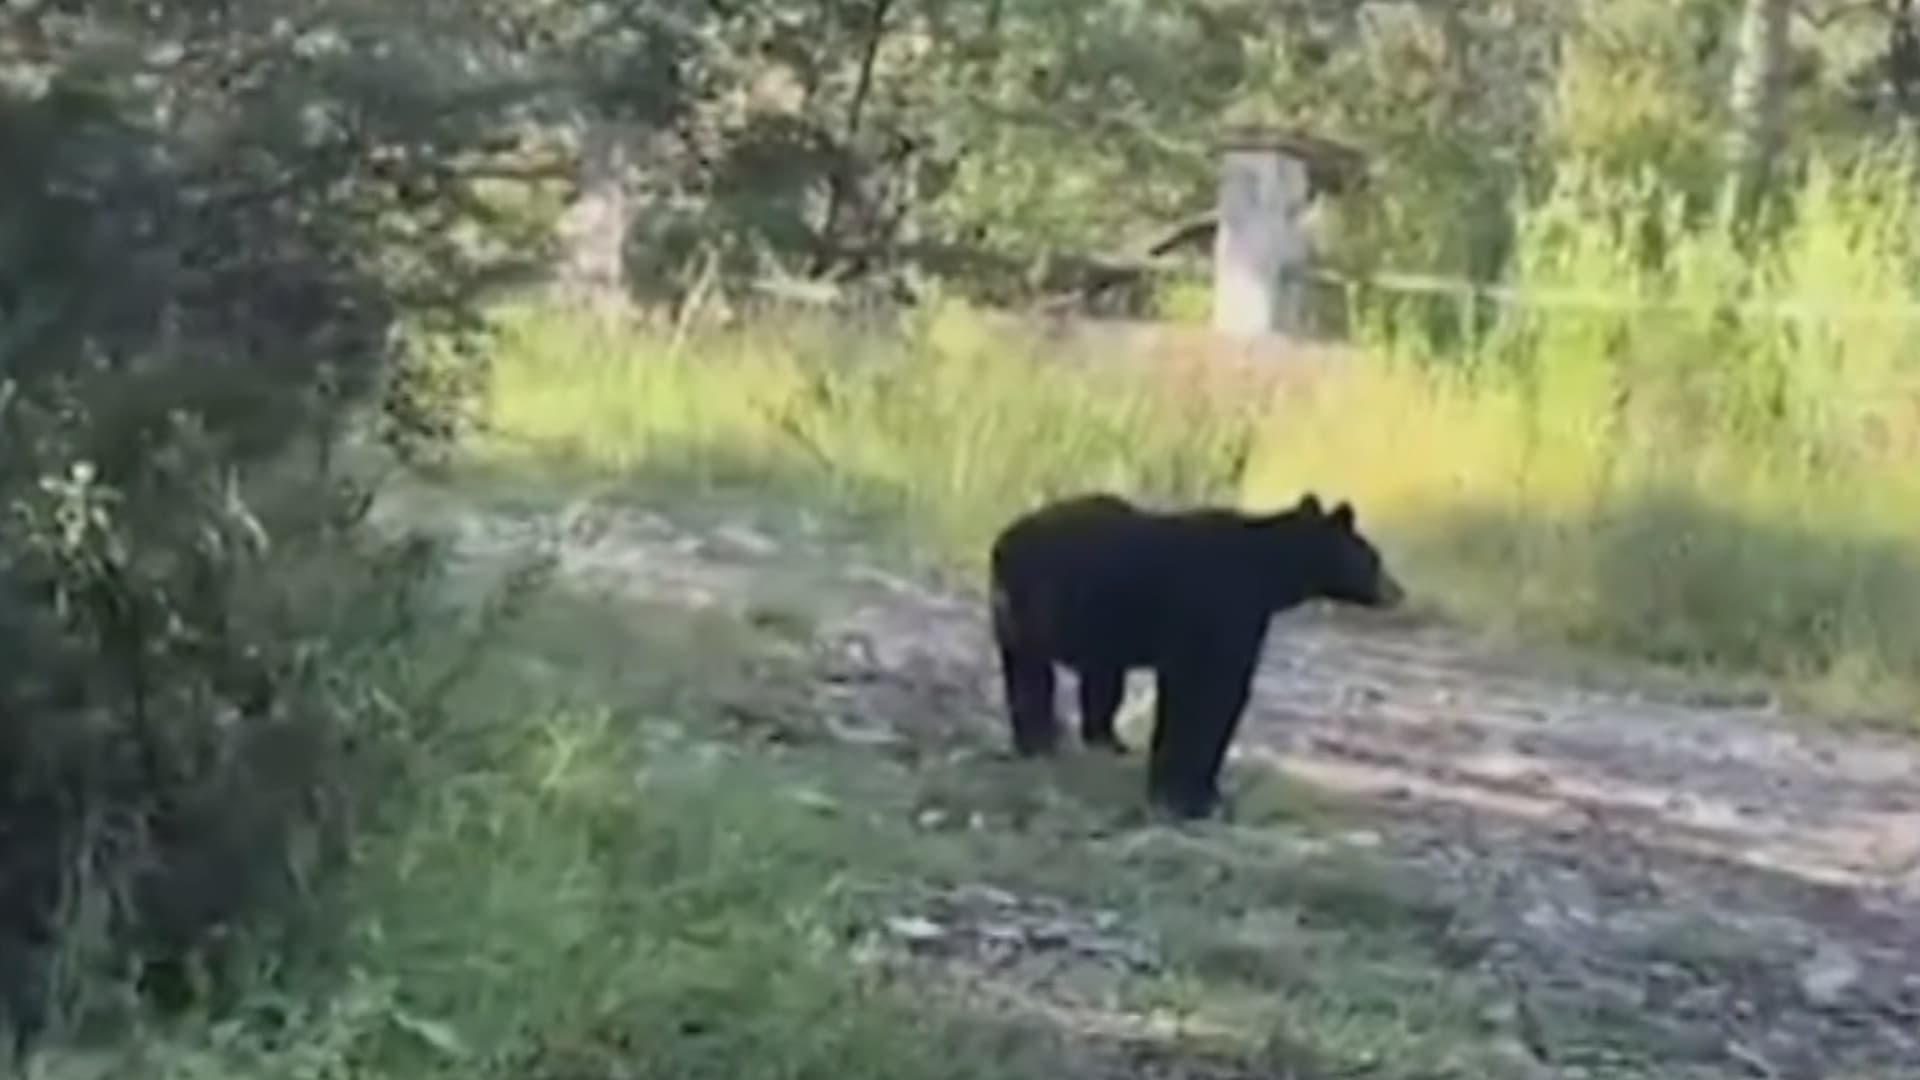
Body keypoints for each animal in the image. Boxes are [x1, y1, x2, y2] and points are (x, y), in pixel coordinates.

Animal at [988, 491, 1405, 820]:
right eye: (1374, 557)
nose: (1398, 592)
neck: (1266, 573)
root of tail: (1004, 544)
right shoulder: (1215, 615)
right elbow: (1209, 700)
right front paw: (1190, 796)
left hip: (1027, 623)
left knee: (1031, 678)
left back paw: (1046, 746)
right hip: (1041, 608)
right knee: (1037, 680)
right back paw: (1044, 744)